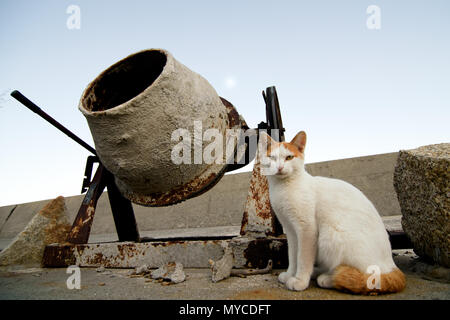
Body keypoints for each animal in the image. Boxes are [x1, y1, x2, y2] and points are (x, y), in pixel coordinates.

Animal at [258, 131, 406, 296]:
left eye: (289, 157)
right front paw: (290, 274)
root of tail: (391, 266)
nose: (279, 167)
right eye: (272, 157)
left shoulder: (306, 229)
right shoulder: (290, 230)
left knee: (367, 277)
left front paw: (300, 280)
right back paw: (318, 272)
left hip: (329, 235)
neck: (283, 187)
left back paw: (327, 278)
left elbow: (303, 258)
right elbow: (293, 255)